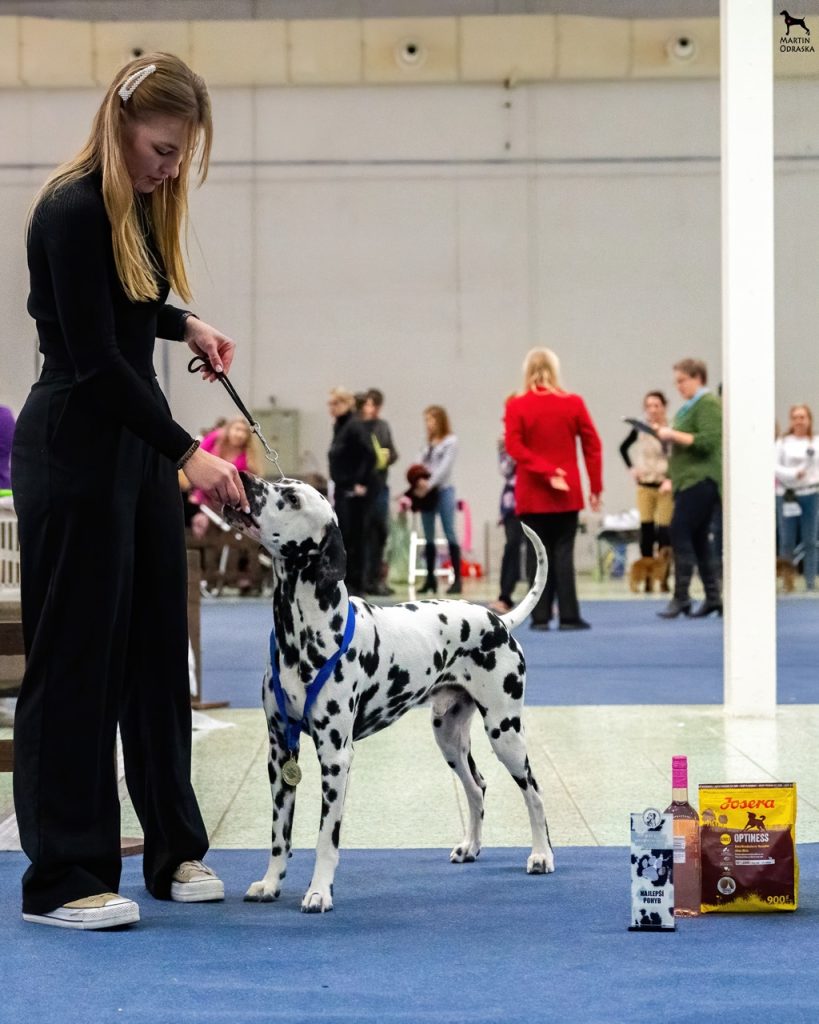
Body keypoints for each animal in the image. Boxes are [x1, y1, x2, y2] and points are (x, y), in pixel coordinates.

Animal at [224, 475, 554, 913]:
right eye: (279, 483)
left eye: (291, 497)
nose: (242, 478)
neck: (305, 632)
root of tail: (498, 620)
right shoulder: (280, 754)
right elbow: (280, 836)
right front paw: (270, 883)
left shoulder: (336, 757)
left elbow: (326, 839)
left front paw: (319, 891)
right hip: (449, 738)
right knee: (477, 787)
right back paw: (470, 847)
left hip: (506, 733)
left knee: (534, 792)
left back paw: (542, 855)